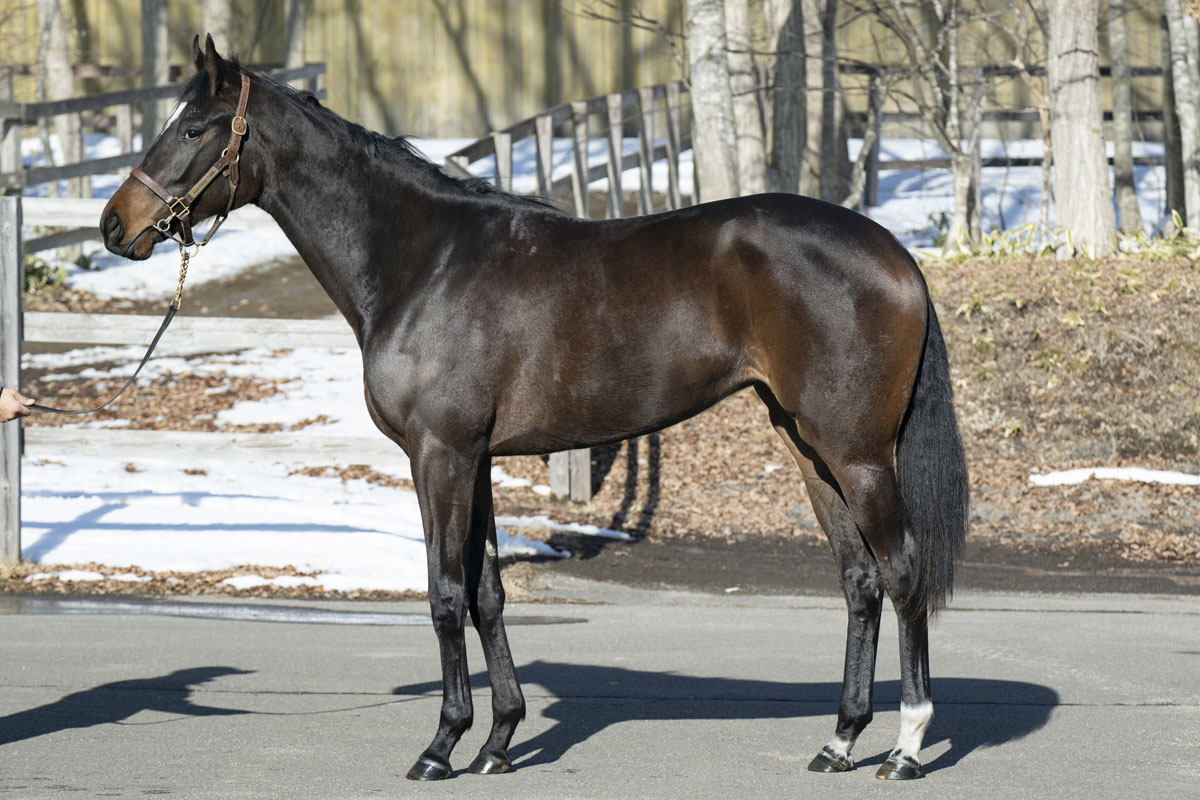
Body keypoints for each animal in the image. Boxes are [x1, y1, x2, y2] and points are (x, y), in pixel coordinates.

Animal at [101, 36, 969, 782]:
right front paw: (498, 741)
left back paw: (907, 747)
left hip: (858, 454)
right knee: (858, 579)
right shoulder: (477, 459)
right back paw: (840, 740)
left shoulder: (440, 454)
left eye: (194, 126)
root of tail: (896, 254)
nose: (116, 225)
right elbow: (487, 594)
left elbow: (445, 594)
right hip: (807, 446)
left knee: (901, 570)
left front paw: (441, 745)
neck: (423, 262)